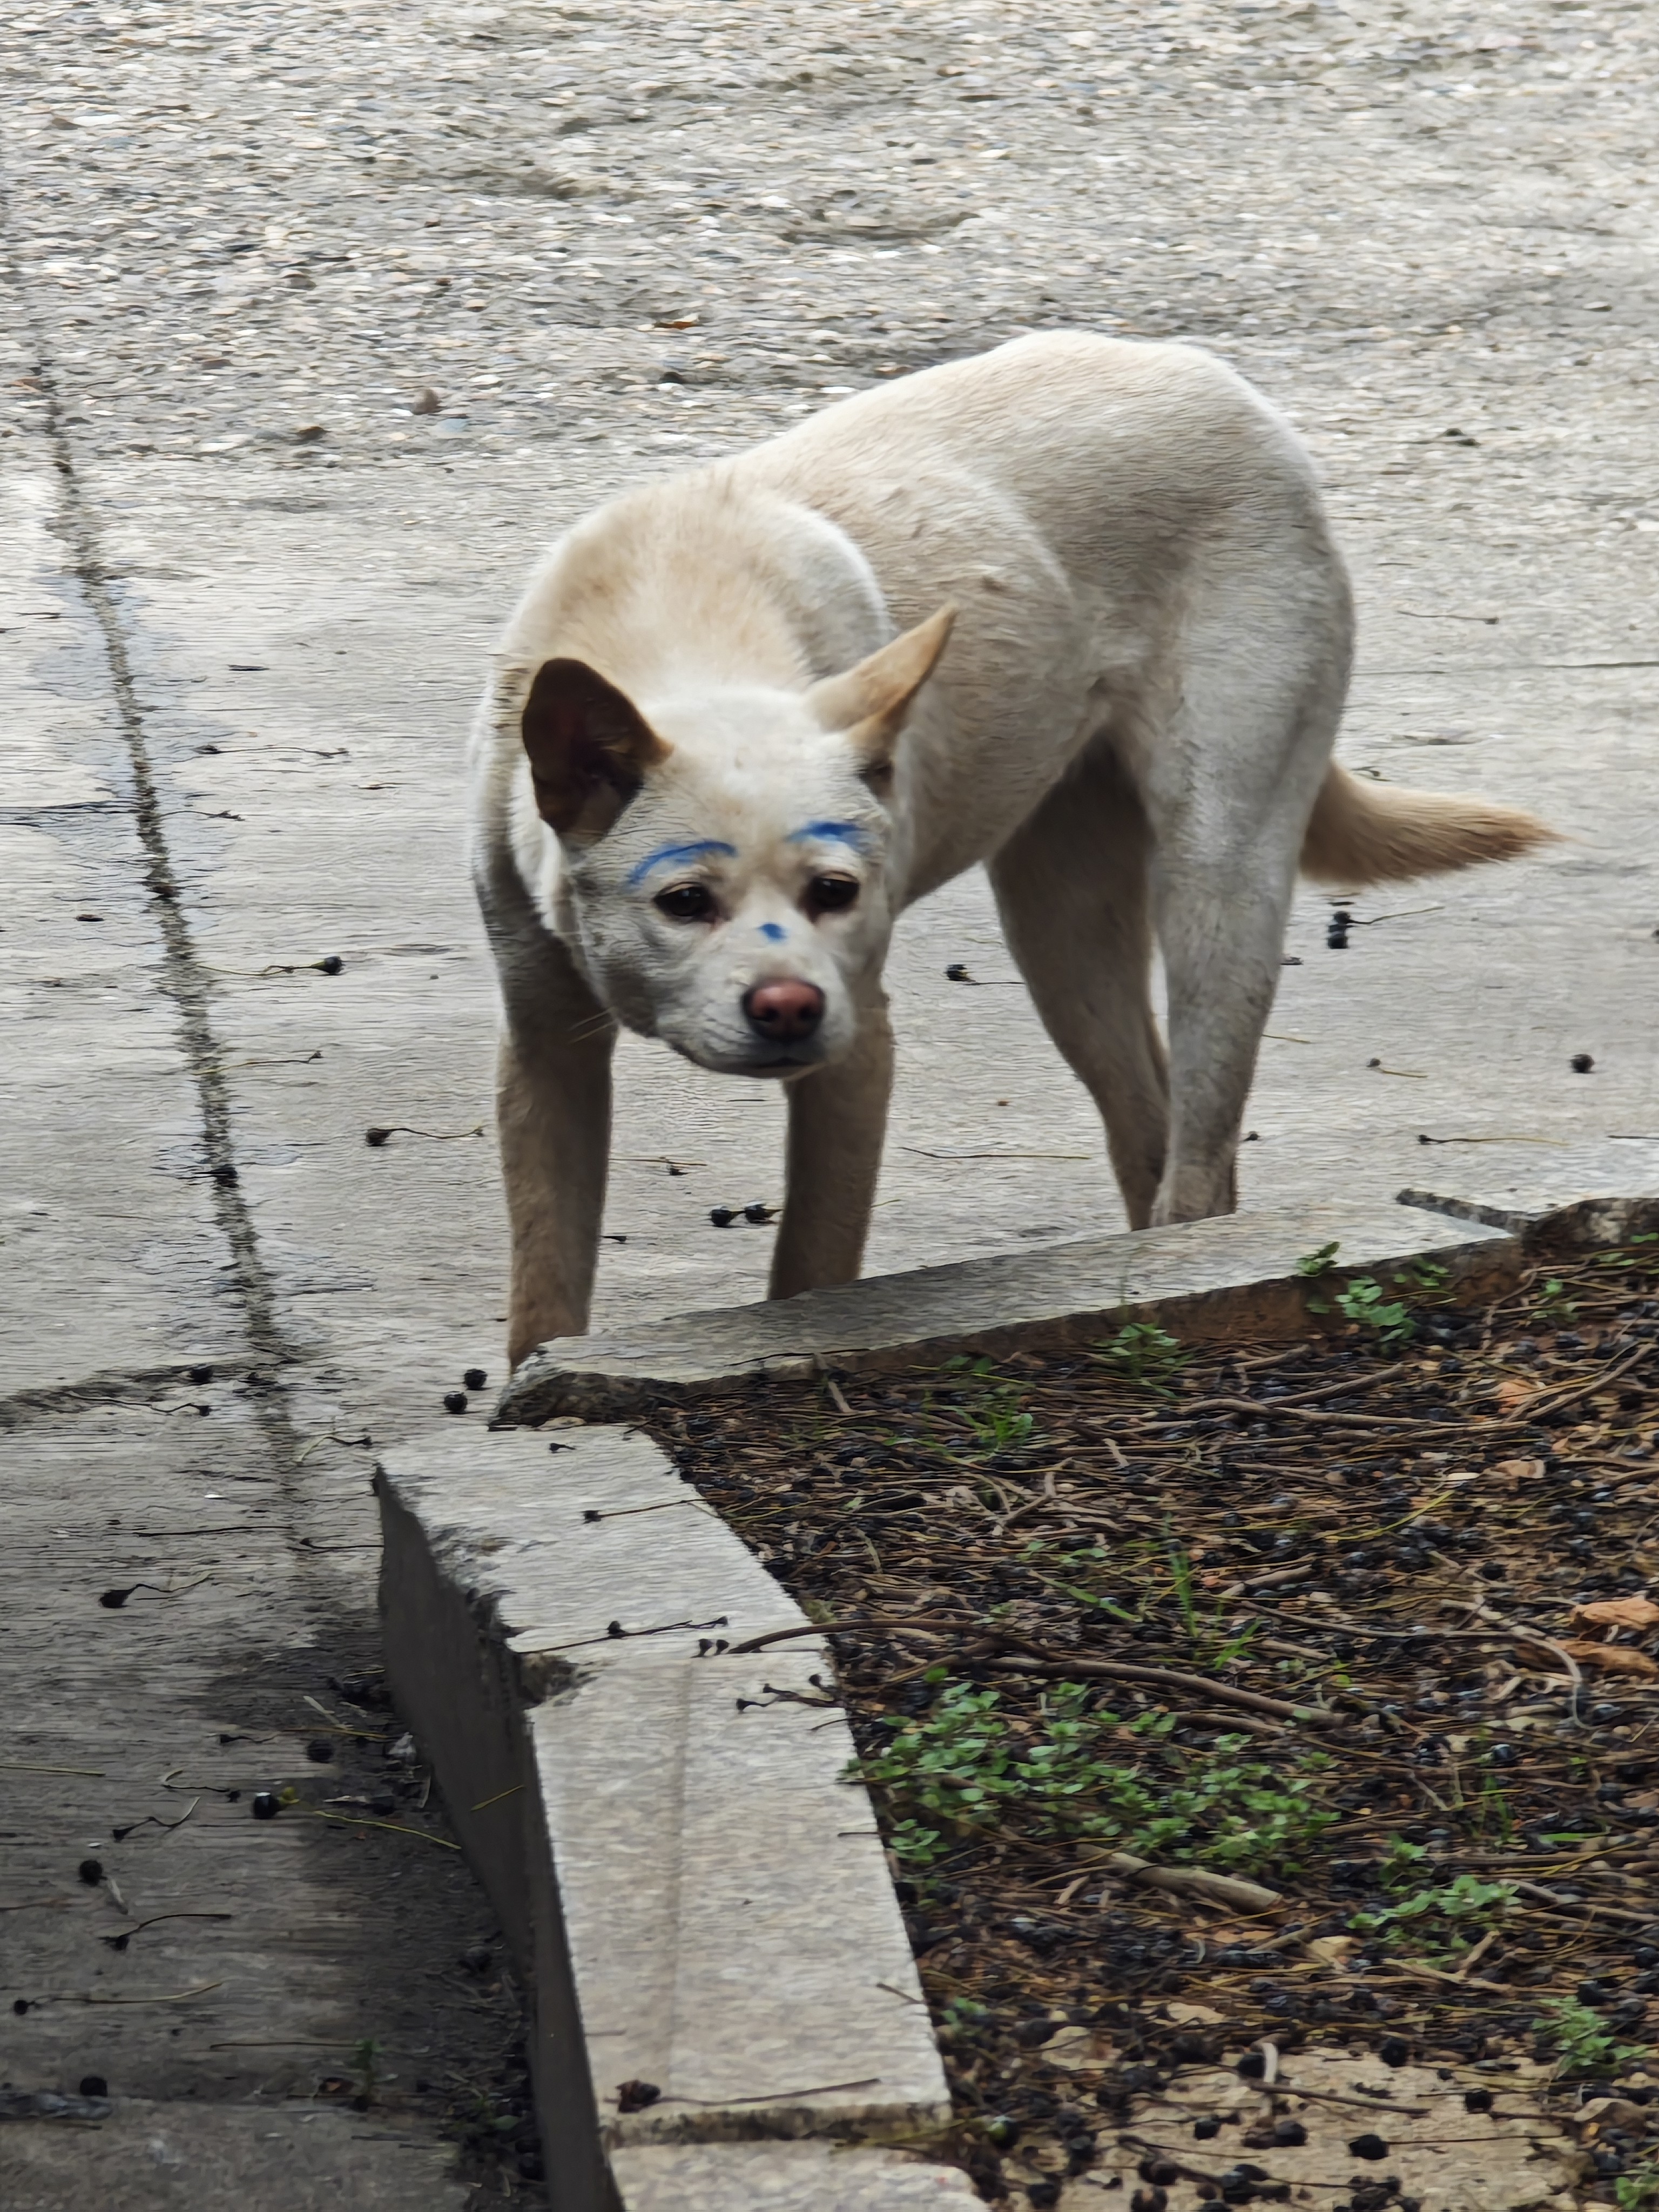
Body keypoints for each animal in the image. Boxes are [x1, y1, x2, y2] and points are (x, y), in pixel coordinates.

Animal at [471, 327, 1557, 1363]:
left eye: (836, 891)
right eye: (683, 901)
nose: (788, 1008)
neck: (678, 621)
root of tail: (1212, 376)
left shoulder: (858, 1051)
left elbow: (809, 1269)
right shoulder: (544, 1050)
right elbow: (543, 1288)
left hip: (1219, 887)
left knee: (1198, 1159)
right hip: (1063, 934)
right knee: (1146, 1133)